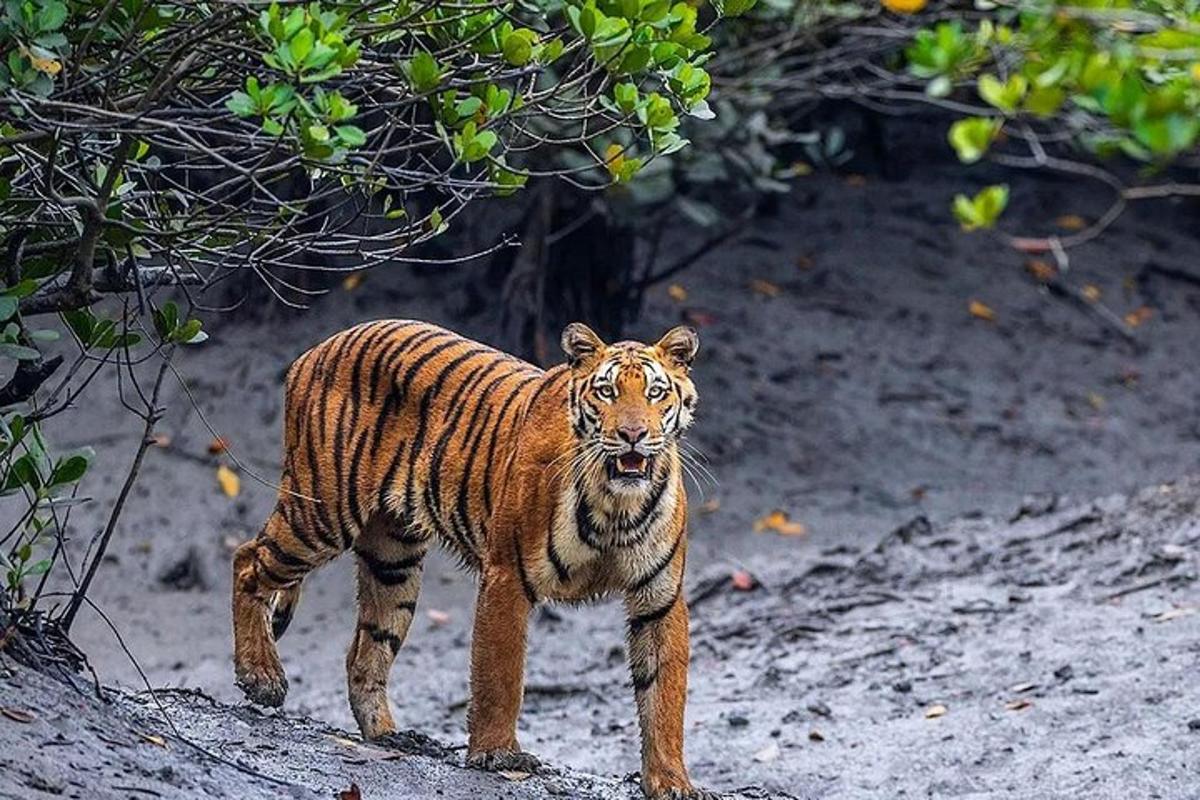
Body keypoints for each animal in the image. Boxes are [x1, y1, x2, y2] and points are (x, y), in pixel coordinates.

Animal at [231, 319, 710, 800]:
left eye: (655, 393)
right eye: (607, 392)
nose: (633, 435)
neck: (616, 505)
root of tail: (321, 346)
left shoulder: (659, 598)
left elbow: (664, 695)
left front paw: (672, 782)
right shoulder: (507, 576)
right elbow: (500, 675)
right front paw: (498, 754)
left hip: (393, 563)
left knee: (364, 651)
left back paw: (389, 736)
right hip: (321, 512)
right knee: (247, 561)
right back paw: (261, 676)